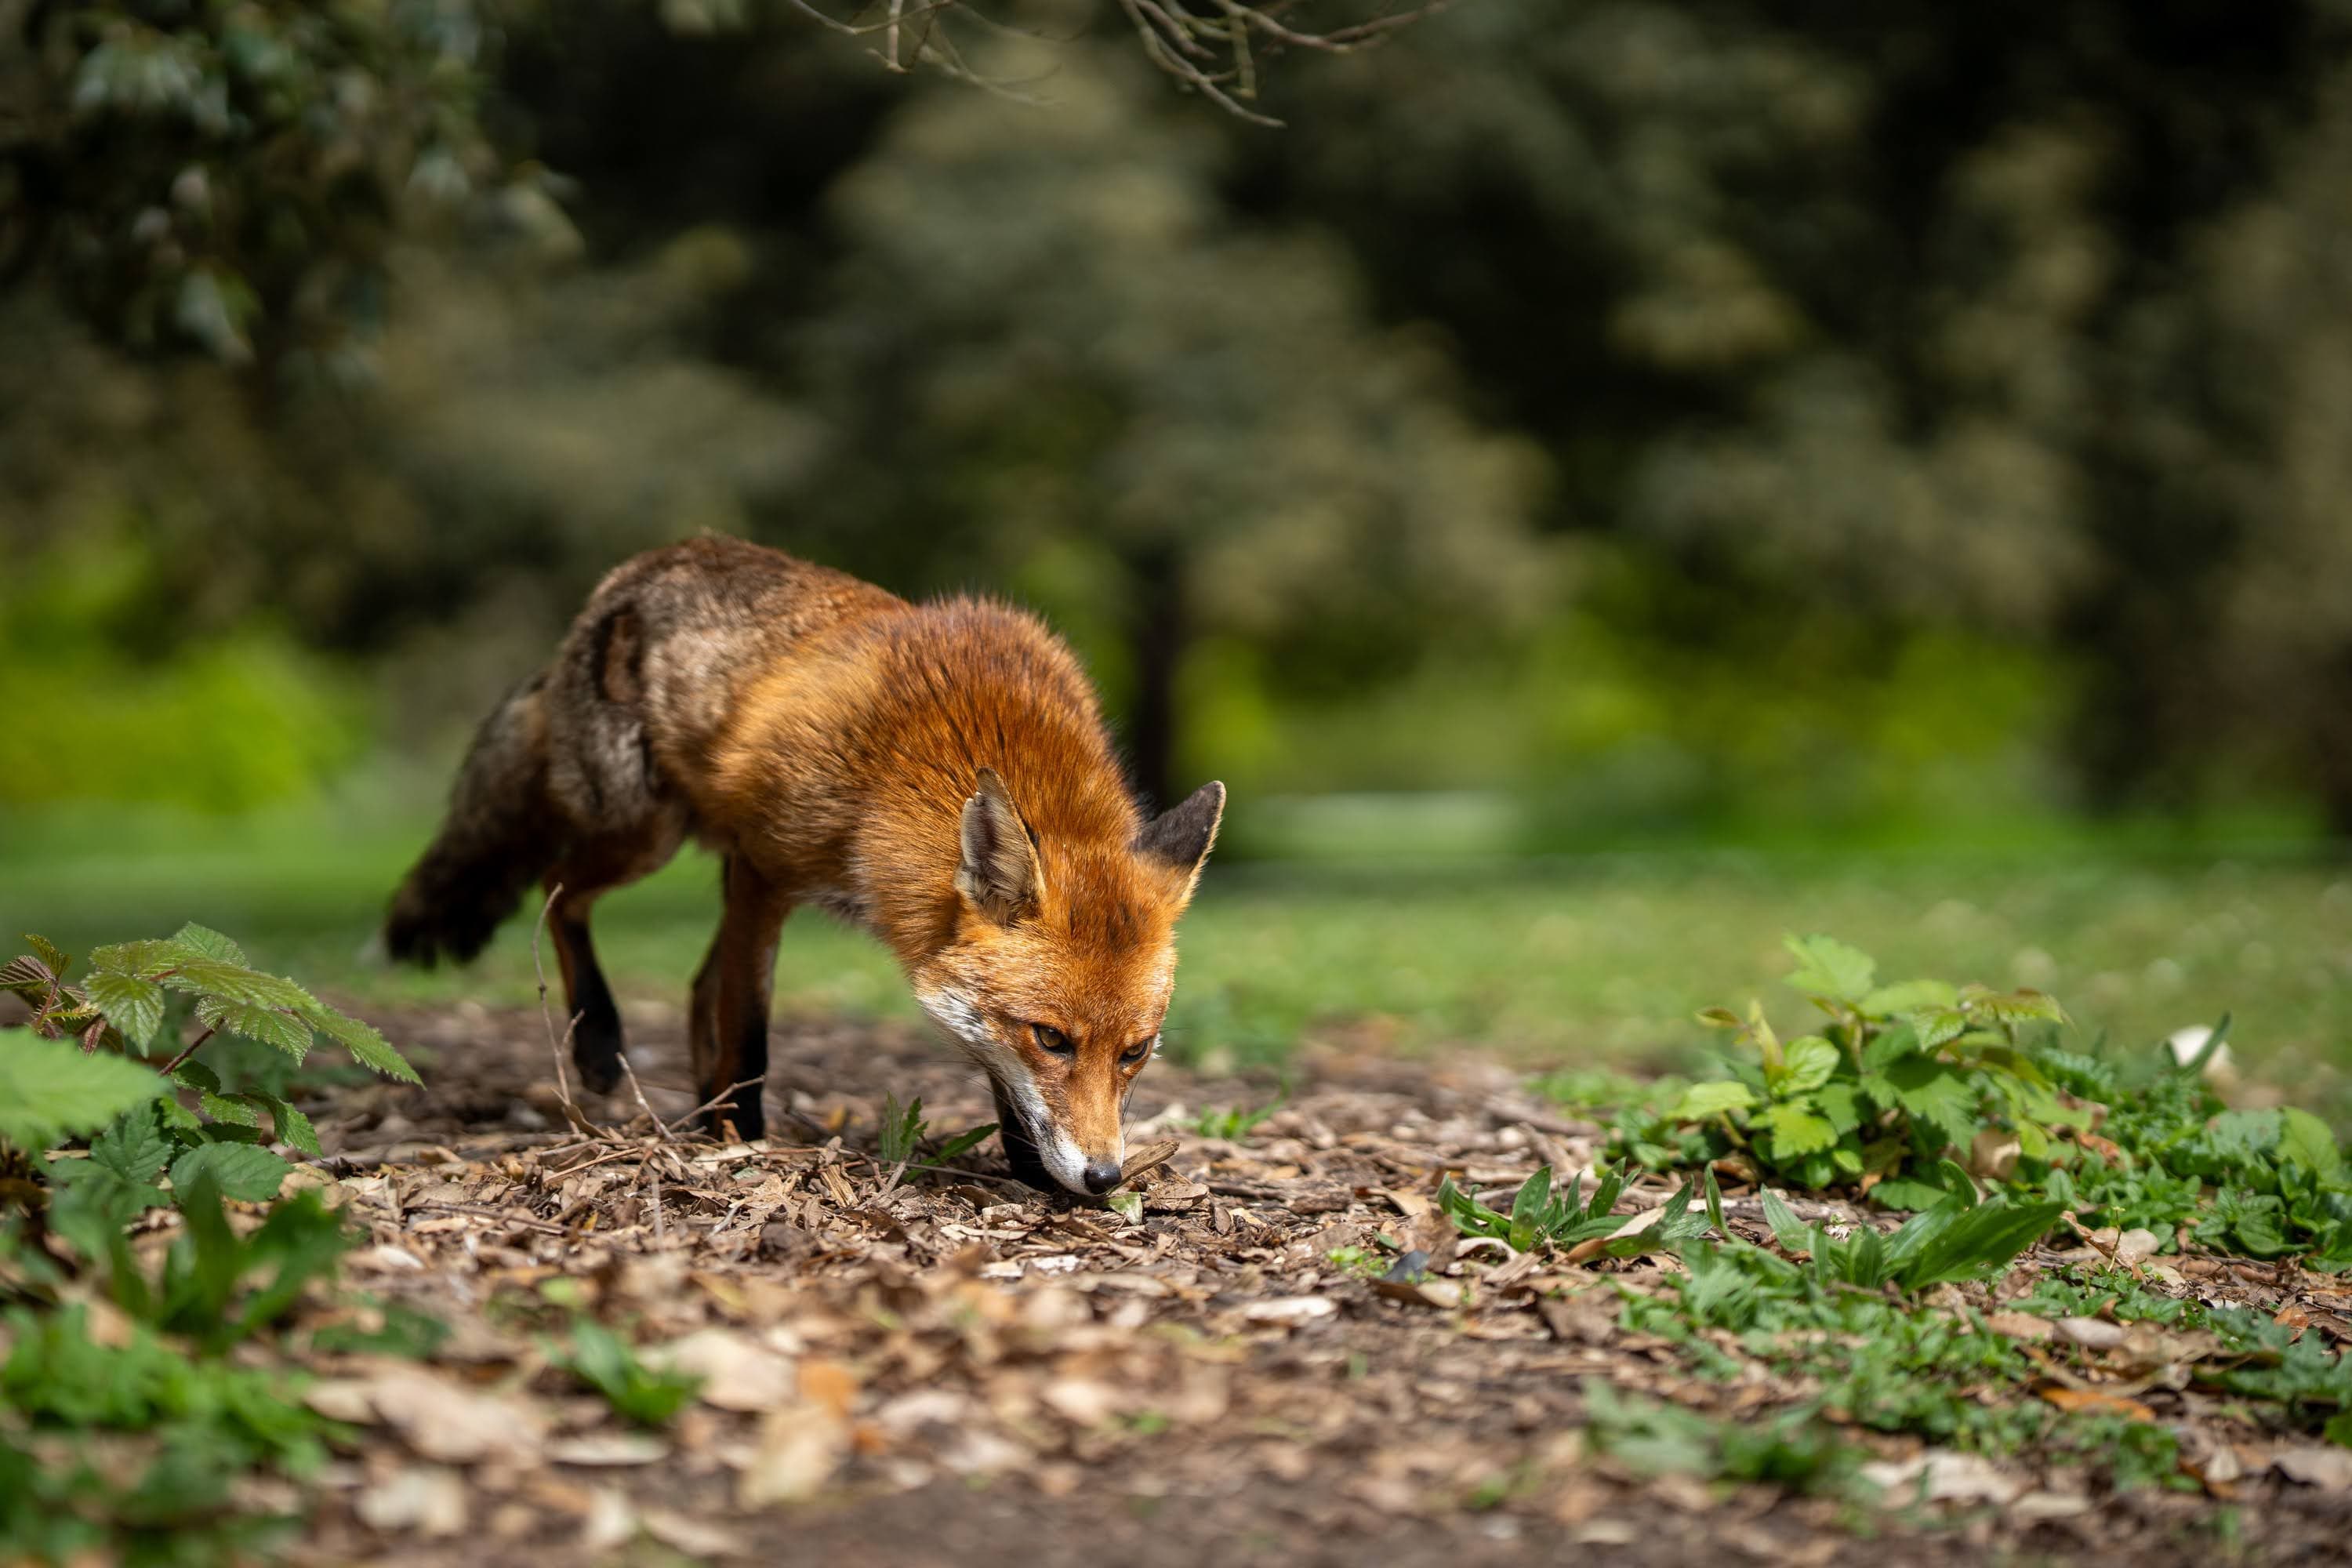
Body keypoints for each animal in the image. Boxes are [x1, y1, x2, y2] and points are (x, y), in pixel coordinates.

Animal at [380, 537, 1224, 1196]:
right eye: (1051, 1039)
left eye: (1135, 1052)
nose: (1104, 1177)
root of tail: (627, 574)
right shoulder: (767, 871)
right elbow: (749, 1036)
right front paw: (745, 1144)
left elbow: (996, 1073)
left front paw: (1027, 1167)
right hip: (643, 831)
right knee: (560, 895)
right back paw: (603, 1044)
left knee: (689, 984)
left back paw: (694, 1113)